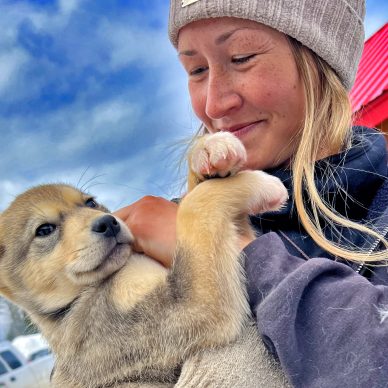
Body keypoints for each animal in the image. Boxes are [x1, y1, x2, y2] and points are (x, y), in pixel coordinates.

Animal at [0, 133, 288, 384]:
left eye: (90, 203)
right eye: (44, 230)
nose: (108, 223)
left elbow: (197, 195)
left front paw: (210, 150)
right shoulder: (184, 309)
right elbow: (195, 206)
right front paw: (262, 184)